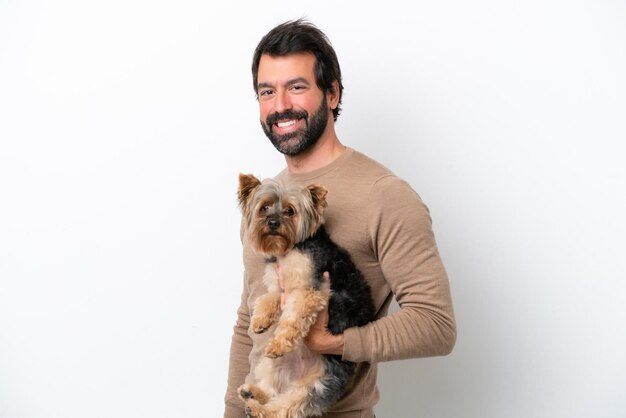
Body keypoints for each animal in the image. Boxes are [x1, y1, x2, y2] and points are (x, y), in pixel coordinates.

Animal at [234, 173, 370, 418]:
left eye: (290, 211)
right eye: (264, 207)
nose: (273, 222)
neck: (289, 249)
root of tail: (295, 375)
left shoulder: (309, 290)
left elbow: (292, 319)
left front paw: (279, 344)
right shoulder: (278, 286)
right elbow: (266, 299)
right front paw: (259, 321)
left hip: (319, 383)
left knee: (285, 408)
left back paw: (256, 407)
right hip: (271, 366)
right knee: (272, 391)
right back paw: (252, 393)